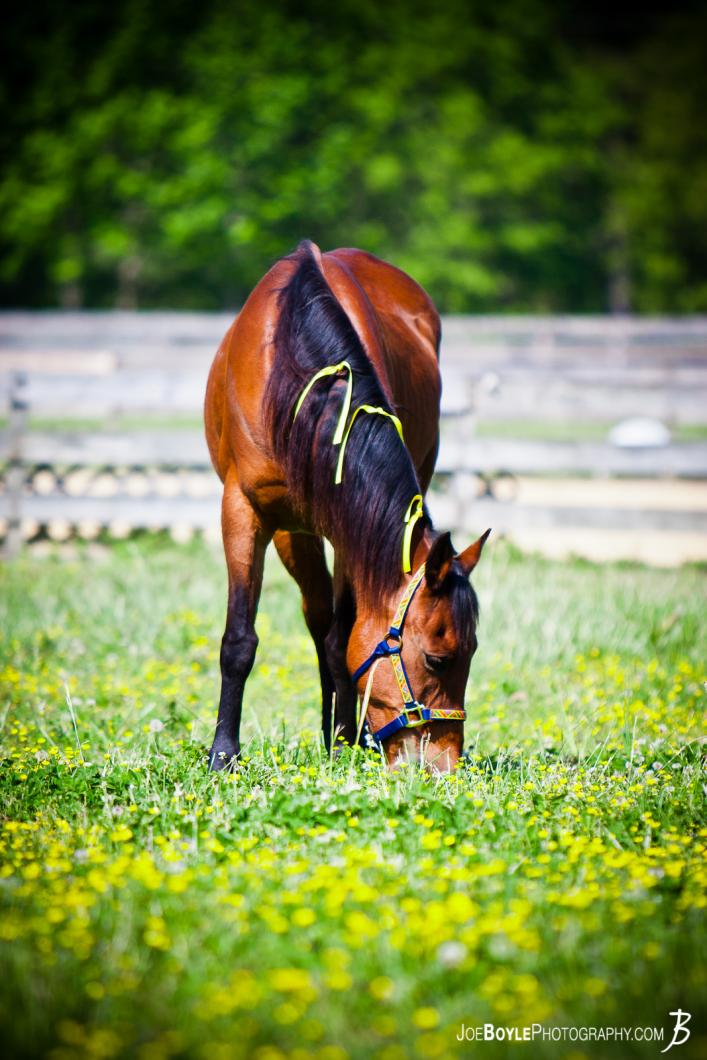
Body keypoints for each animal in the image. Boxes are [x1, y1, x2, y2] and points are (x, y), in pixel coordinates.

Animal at [204, 240, 489, 773]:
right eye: (438, 659)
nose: (443, 765)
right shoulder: (244, 511)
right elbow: (240, 639)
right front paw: (223, 753)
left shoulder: (352, 529)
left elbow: (343, 639)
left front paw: (342, 740)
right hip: (293, 532)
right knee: (316, 620)